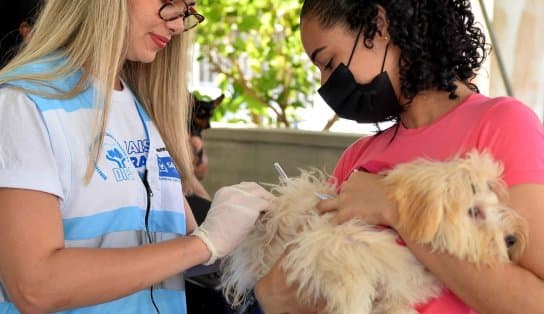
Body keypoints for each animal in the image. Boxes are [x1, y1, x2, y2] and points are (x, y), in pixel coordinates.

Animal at [220, 151, 528, 312]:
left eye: (496, 202)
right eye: (474, 211)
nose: (511, 239)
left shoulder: (396, 291)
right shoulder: (327, 245)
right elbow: (351, 287)